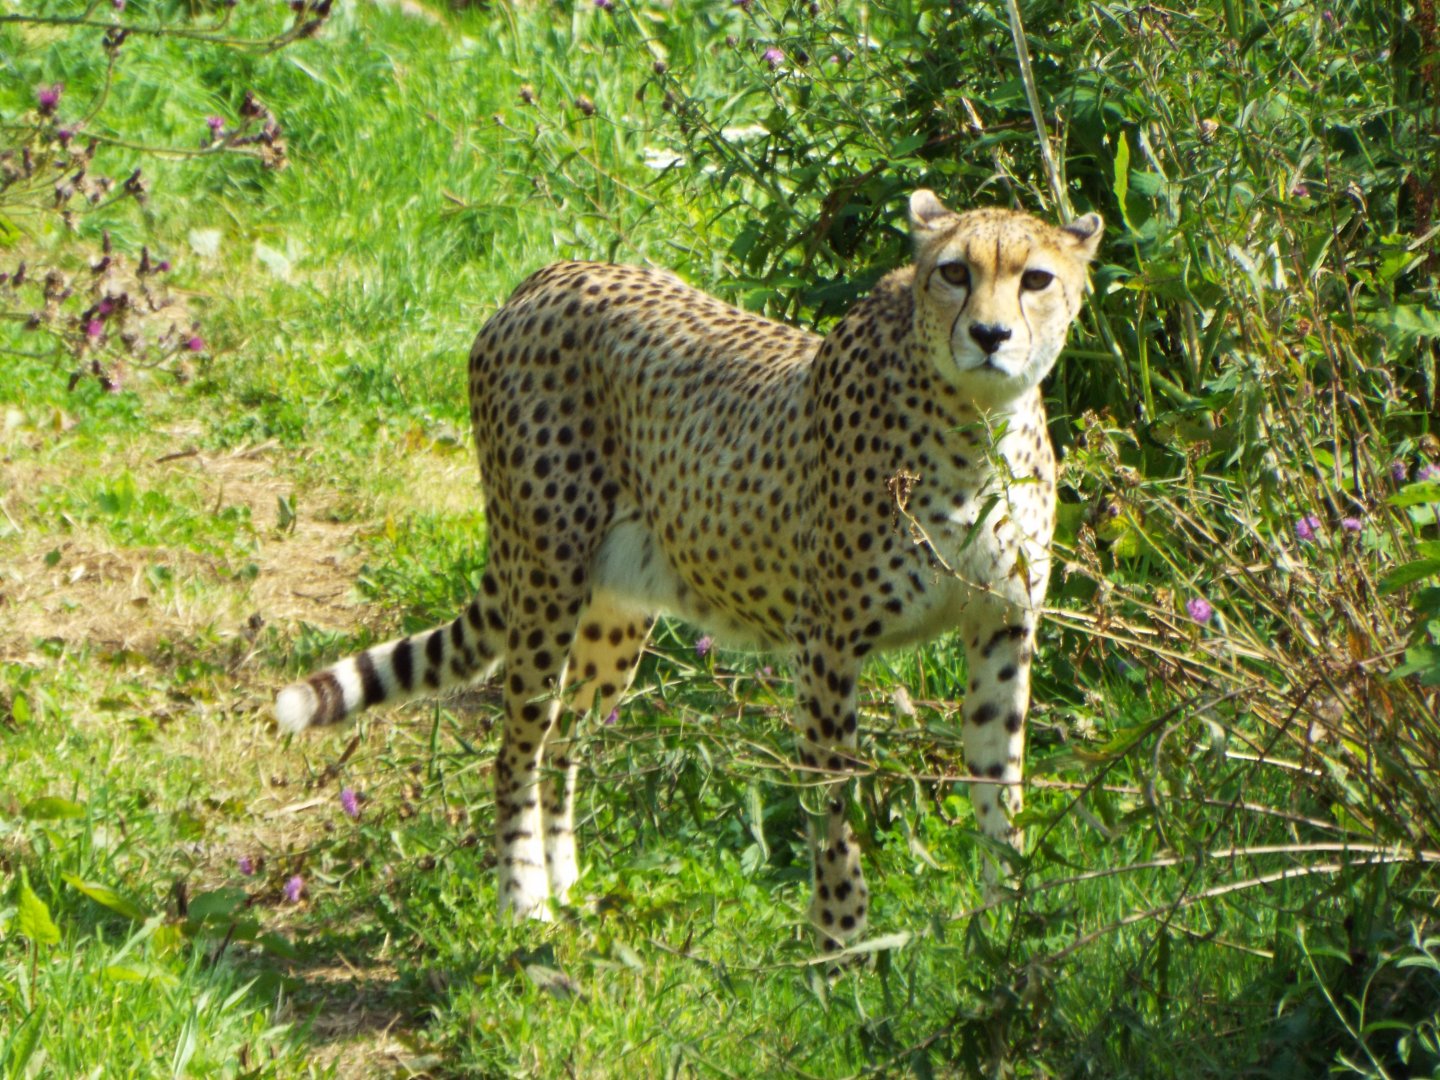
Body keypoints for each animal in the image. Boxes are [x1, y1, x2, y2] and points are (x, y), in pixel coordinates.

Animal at [274, 189, 1102, 945]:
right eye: (954, 272)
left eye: (1035, 278)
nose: (990, 334)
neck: (976, 425)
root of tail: (547, 275)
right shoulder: (828, 645)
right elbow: (832, 808)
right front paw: (840, 948)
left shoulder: (1002, 627)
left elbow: (1001, 789)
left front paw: (1005, 926)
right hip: (544, 577)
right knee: (517, 750)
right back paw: (525, 902)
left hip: (616, 614)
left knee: (567, 738)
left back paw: (568, 887)